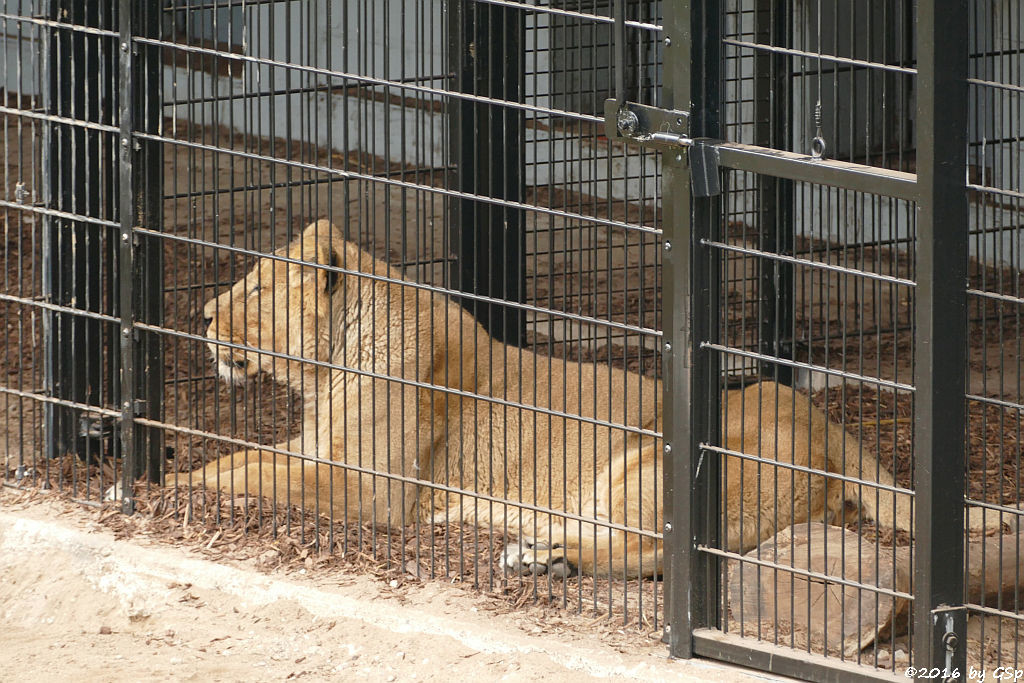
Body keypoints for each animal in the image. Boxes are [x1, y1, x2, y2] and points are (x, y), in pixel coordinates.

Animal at [195, 219, 917, 577]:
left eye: (255, 290)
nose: (201, 316)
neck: (325, 375)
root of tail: (822, 423)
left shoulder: (374, 490)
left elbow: (257, 478)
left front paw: (177, 486)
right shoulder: (316, 447)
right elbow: (237, 461)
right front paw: (184, 471)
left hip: (644, 467)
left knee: (654, 552)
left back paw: (548, 560)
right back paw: (538, 551)